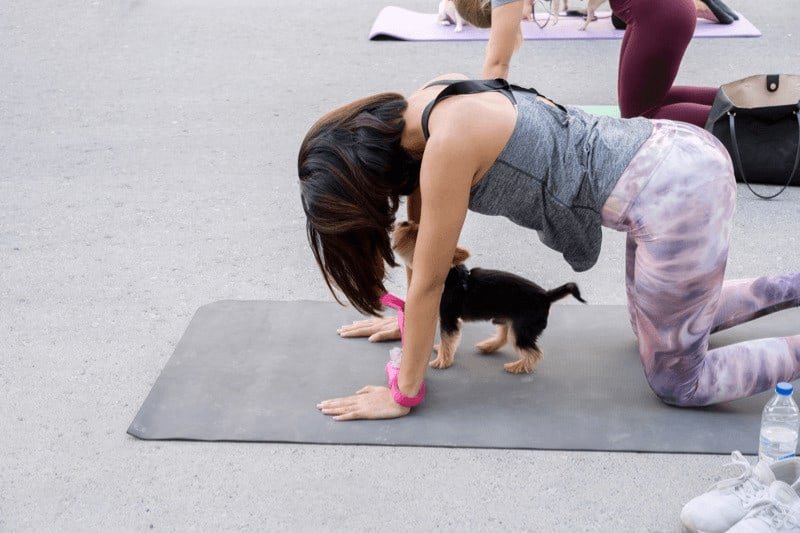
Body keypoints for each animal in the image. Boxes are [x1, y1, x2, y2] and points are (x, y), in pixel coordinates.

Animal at [390, 220, 584, 374]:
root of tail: (546, 295)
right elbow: (448, 341)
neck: (449, 276)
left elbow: (447, 338)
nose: (403, 222)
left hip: (522, 327)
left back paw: (517, 366)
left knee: (533, 351)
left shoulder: (448, 319)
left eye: (417, 234)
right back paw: (488, 346)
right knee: (506, 335)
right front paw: (442, 352)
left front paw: (442, 361)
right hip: (509, 317)